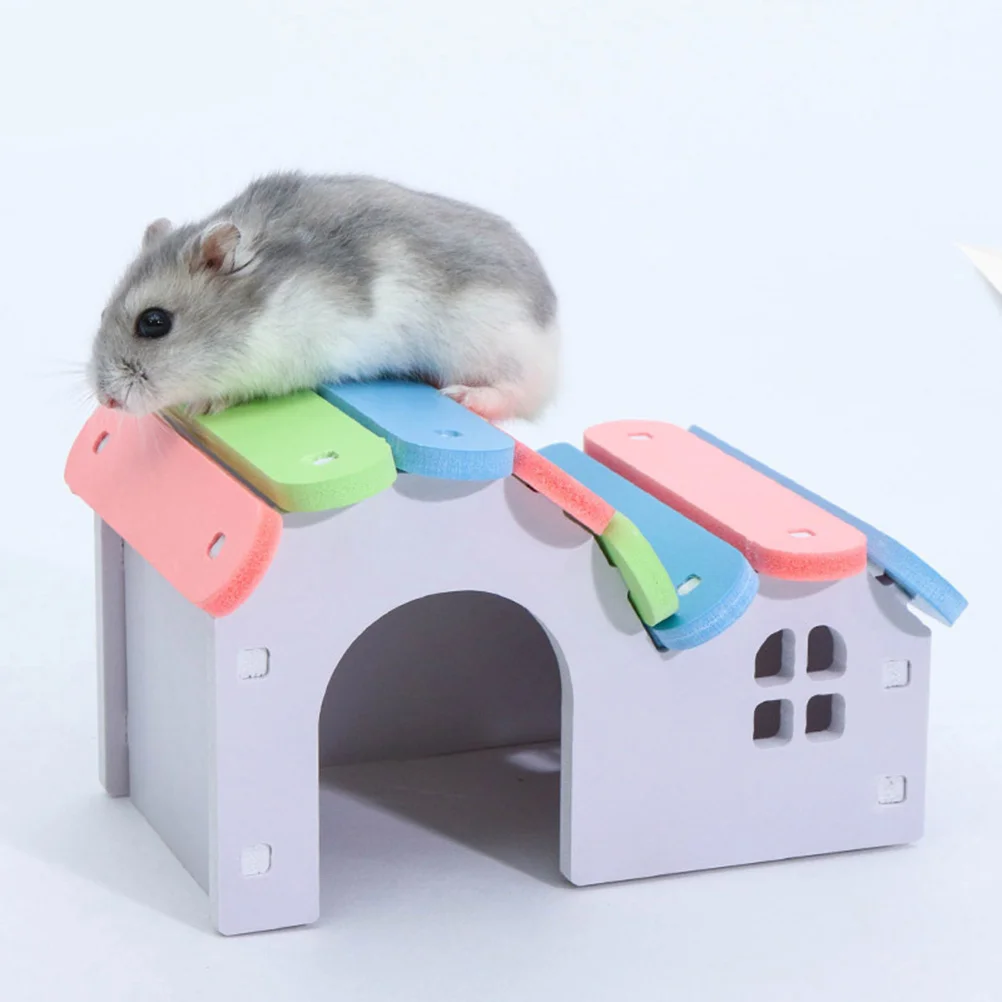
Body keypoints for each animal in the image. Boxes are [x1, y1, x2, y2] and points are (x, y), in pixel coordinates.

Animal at [88, 172, 560, 422]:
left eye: (154, 322)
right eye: (102, 312)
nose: (106, 401)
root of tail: (553, 326)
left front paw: (203, 403)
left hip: (492, 344)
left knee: (519, 391)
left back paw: (466, 397)